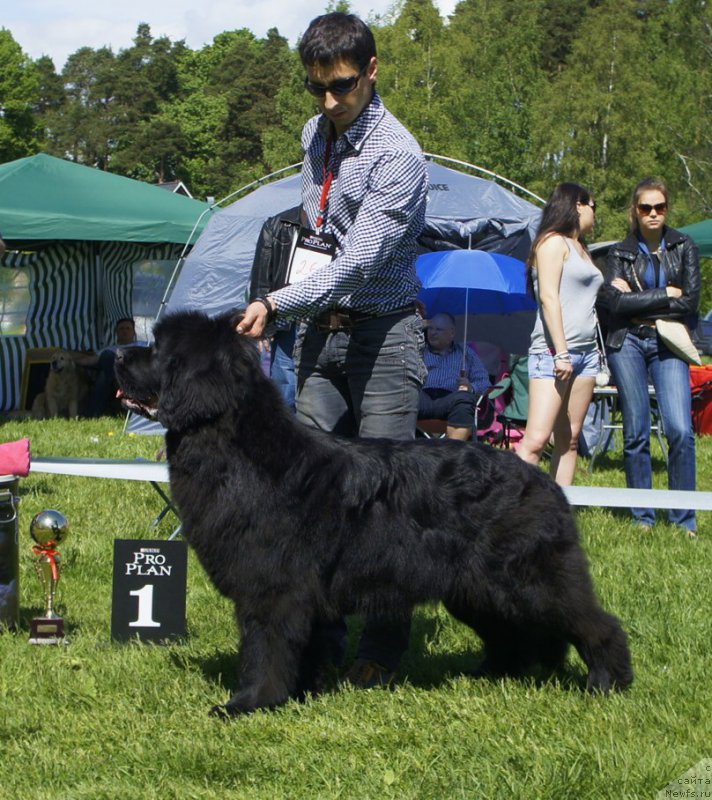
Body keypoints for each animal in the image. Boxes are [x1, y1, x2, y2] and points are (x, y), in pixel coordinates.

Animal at [117, 310, 636, 716]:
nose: (119, 354)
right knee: (514, 633)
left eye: (158, 350)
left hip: (530, 577)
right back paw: (492, 674)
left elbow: (263, 649)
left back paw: (608, 682)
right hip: (477, 588)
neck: (237, 447)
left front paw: (249, 703)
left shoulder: (273, 587)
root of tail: (545, 481)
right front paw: (303, 691)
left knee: (593, 622)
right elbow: (303, 646)